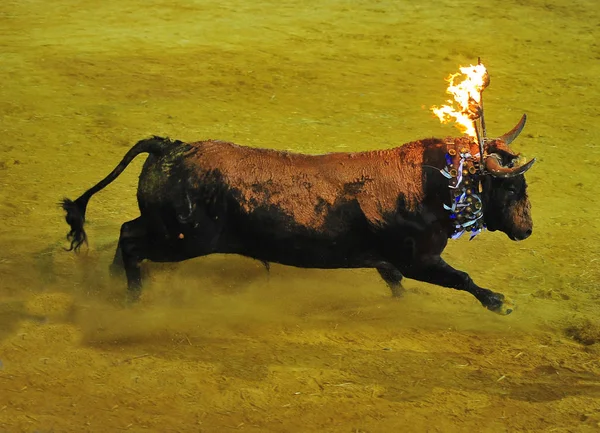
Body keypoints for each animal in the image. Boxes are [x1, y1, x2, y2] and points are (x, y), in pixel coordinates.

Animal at [63, 115, 536, 314]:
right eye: (512, 186)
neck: (429, 184)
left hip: (166, 229)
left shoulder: (393, 260)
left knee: (127, 232)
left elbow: (394, 280)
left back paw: (112, 280)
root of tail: (169, 146)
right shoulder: (418, 258)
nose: (527, 230)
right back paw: (133, 297)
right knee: (131, 241)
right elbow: (460, 278)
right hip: (180, 238)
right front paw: (498, 302)